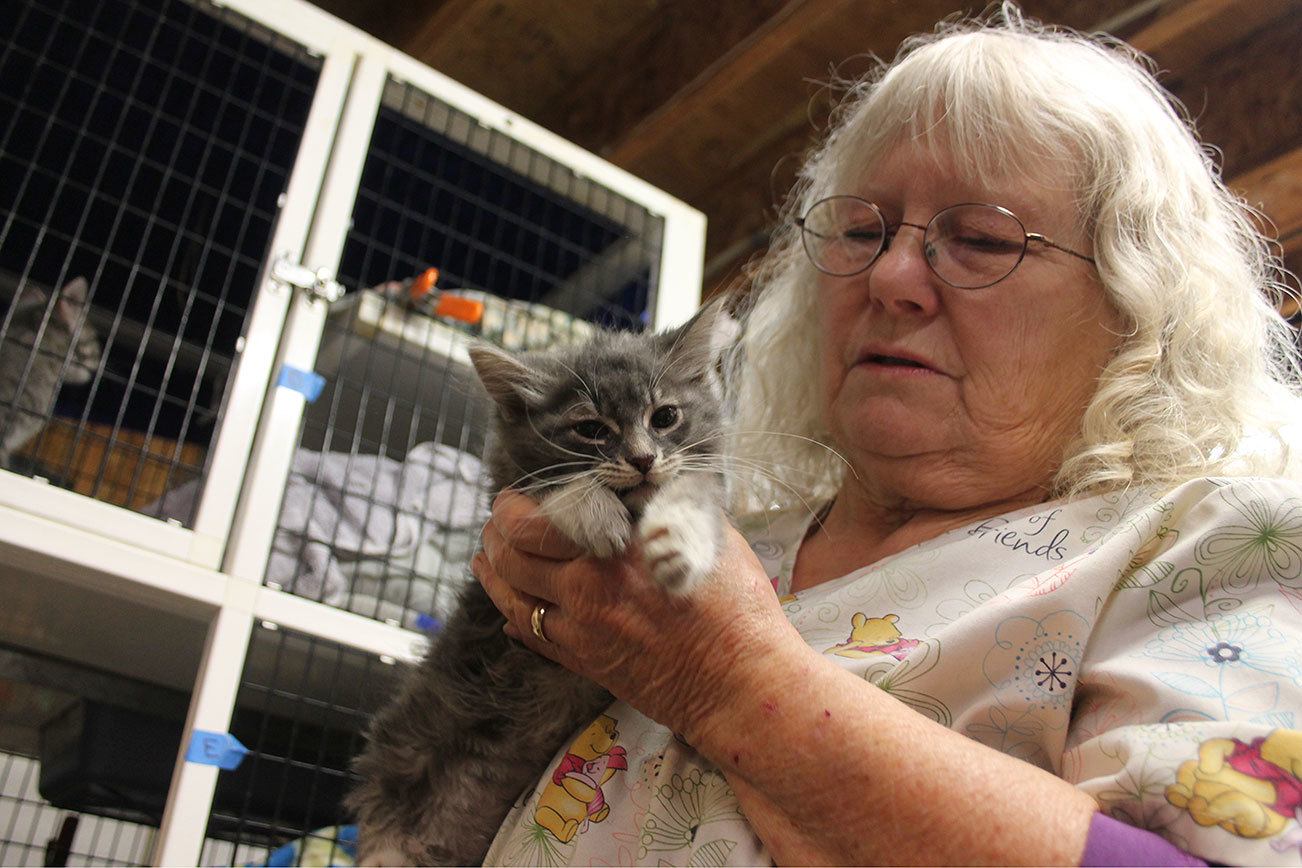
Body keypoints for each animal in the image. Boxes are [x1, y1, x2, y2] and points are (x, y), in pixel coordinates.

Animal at [346, 300, 734, 864]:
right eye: (591, 429)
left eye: (665, 417)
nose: (643, 459)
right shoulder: (509, 493)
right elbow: (560, 486)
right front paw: (595, 514)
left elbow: (692, 487)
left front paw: (679, 545)